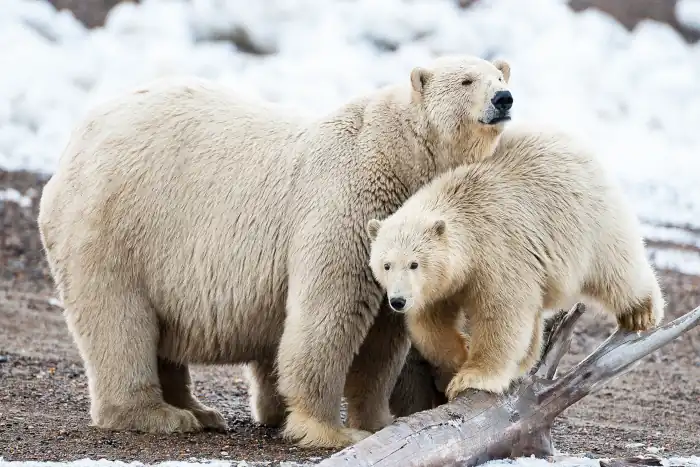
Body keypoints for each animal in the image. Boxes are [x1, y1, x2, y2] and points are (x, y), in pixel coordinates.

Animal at [37, 54, 514, 449]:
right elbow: (330, 314)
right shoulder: (345, 204)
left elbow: (384, 333)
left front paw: (379, 421)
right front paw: (329, 430)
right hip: (116, 226)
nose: (503, 98)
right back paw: (159, 415)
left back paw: (198, 411)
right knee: (119, 320)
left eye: (499, 76)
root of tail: (73, 146)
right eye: (468, 79)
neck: (396, 154)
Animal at [367, 124, 665, 401]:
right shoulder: (440, 284)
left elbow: (501, 315)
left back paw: (640, 312)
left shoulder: (498, 253)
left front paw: (471, 378)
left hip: (590, 221)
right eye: (386, 265)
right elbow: (429, 322)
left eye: (414, 264)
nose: (398, 301)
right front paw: (460, 353)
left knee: (616, 268)